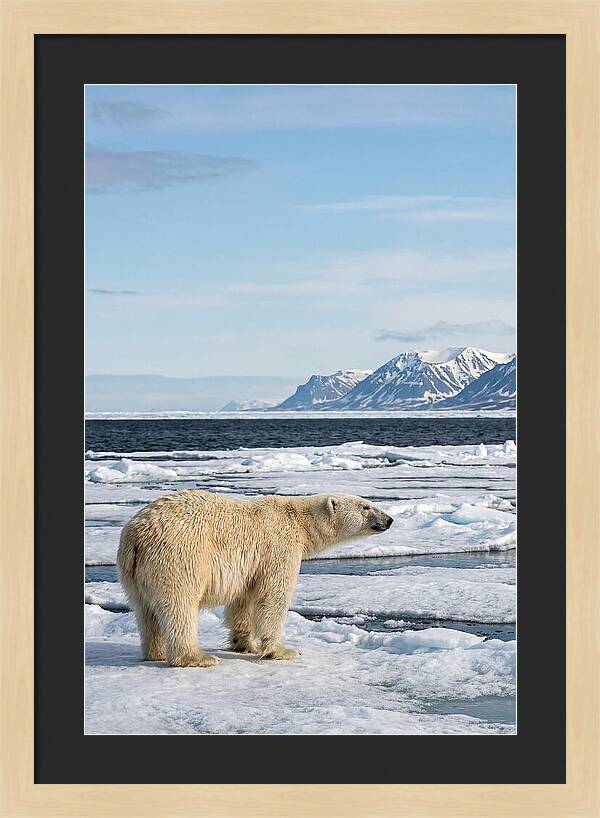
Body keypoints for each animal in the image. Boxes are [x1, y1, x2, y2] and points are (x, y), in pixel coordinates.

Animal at [117, 491, 393, 668]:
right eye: (366, 506)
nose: (389, 519)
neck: (299, 521)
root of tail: (136, 535)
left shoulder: (251, 566)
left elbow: (243, 600)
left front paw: (245, 644)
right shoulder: (278, 546)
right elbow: (273, 596)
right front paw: (284, 650)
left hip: (133, 572)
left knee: (145, 611)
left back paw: (155, 652)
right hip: (179, 556)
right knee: (179, 606)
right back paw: (197, 657)